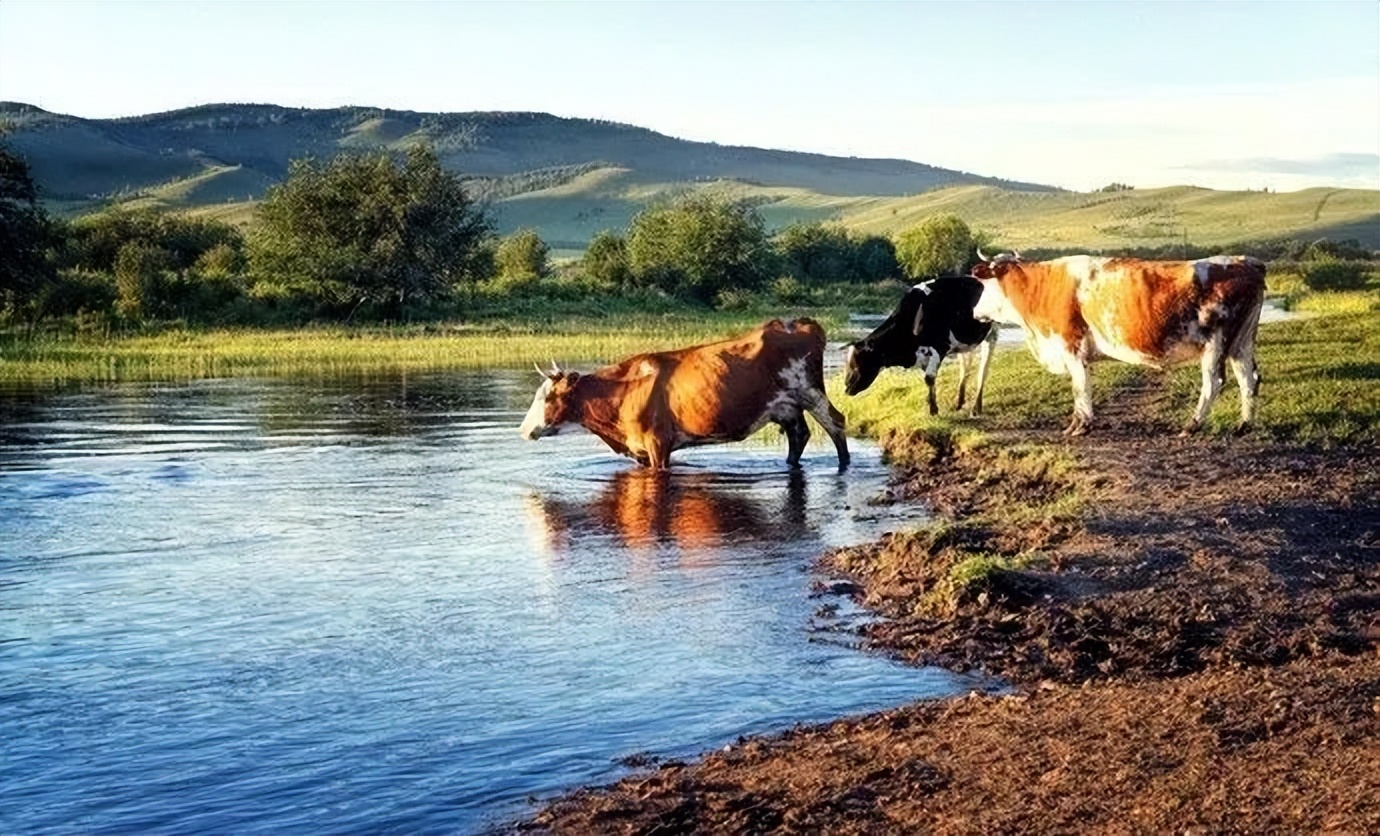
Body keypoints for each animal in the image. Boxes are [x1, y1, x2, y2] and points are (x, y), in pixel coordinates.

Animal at [518, 320, 844, 471]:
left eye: (547, 398)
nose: (522, 429)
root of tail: (800, 323)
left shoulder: (658, 443)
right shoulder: (640, 451)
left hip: (810, 392)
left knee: (836, 423)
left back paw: (843, 467)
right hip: (785, 406)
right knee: (799, 436)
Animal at [833, 277, 999, 416]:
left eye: (857, 364)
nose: (847, 387)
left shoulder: (938, 348)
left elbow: (929, 378)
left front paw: (933, 410)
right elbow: (929, 379)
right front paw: (932, 405)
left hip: (992, 332)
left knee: (983, 368)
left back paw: (976, 408)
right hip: (965, 342)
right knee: (965, 367)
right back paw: (959, 402)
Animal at [966, 252, 1264, 438]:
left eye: (983, 284)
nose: (974, 311)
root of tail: (1244, 261)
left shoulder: (1072, 346)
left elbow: (1079, 387)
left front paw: (1080, 425)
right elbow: (1083, 386)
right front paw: (1078, 422)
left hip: (1216, 343)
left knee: (1214, 382)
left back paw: (1192, 426)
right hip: (1241, 343)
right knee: (1248, 379)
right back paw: (1243, 425)